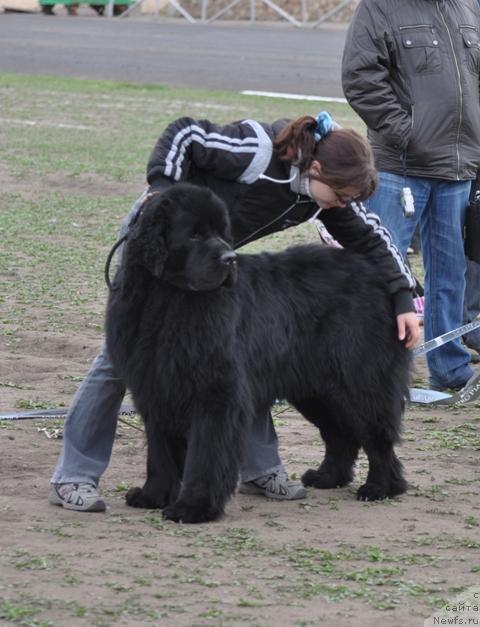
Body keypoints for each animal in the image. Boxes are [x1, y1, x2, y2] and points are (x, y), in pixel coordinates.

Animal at [106, 183, 412, 524]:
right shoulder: (155, 387)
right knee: (340, 434)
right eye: (195, 235)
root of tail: (376, 274)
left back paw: (381, 487)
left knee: (377, 436)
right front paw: (152, 496)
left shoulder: (216, 393)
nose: (229, 259)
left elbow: (206, 453)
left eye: (222, 233)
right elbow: (159, 452)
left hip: (357, 380)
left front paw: (194, 507)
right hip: (316, 389)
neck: (169, 299)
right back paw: (327, 477)